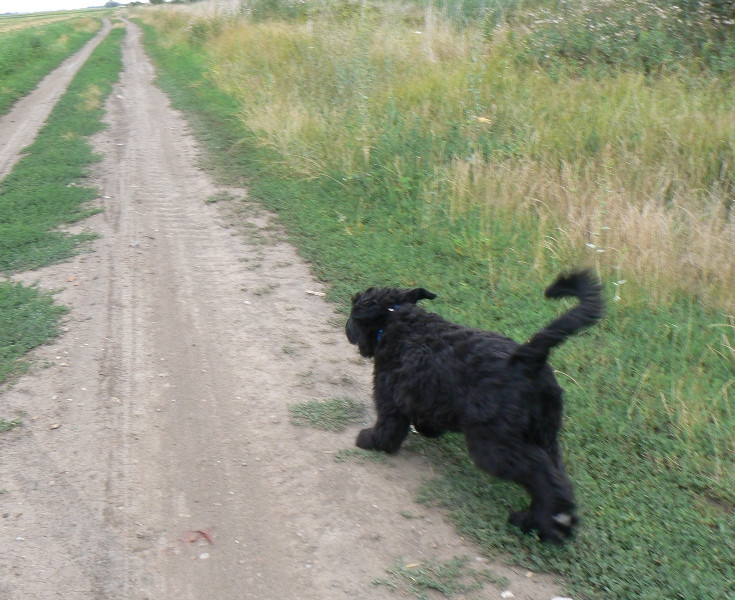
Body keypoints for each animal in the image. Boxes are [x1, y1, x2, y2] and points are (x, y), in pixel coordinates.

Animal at [344, 272, 604, 544]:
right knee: (557, 478)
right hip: (546, 433)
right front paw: (426, 430)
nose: (347, 327)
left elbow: (388, 427)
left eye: (354, 310)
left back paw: (543, 526)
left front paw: (370, 440)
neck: (397, 319)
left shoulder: (389, 397)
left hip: (494, 445)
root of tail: (528, 360)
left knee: (541, 475)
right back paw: (543, 521)